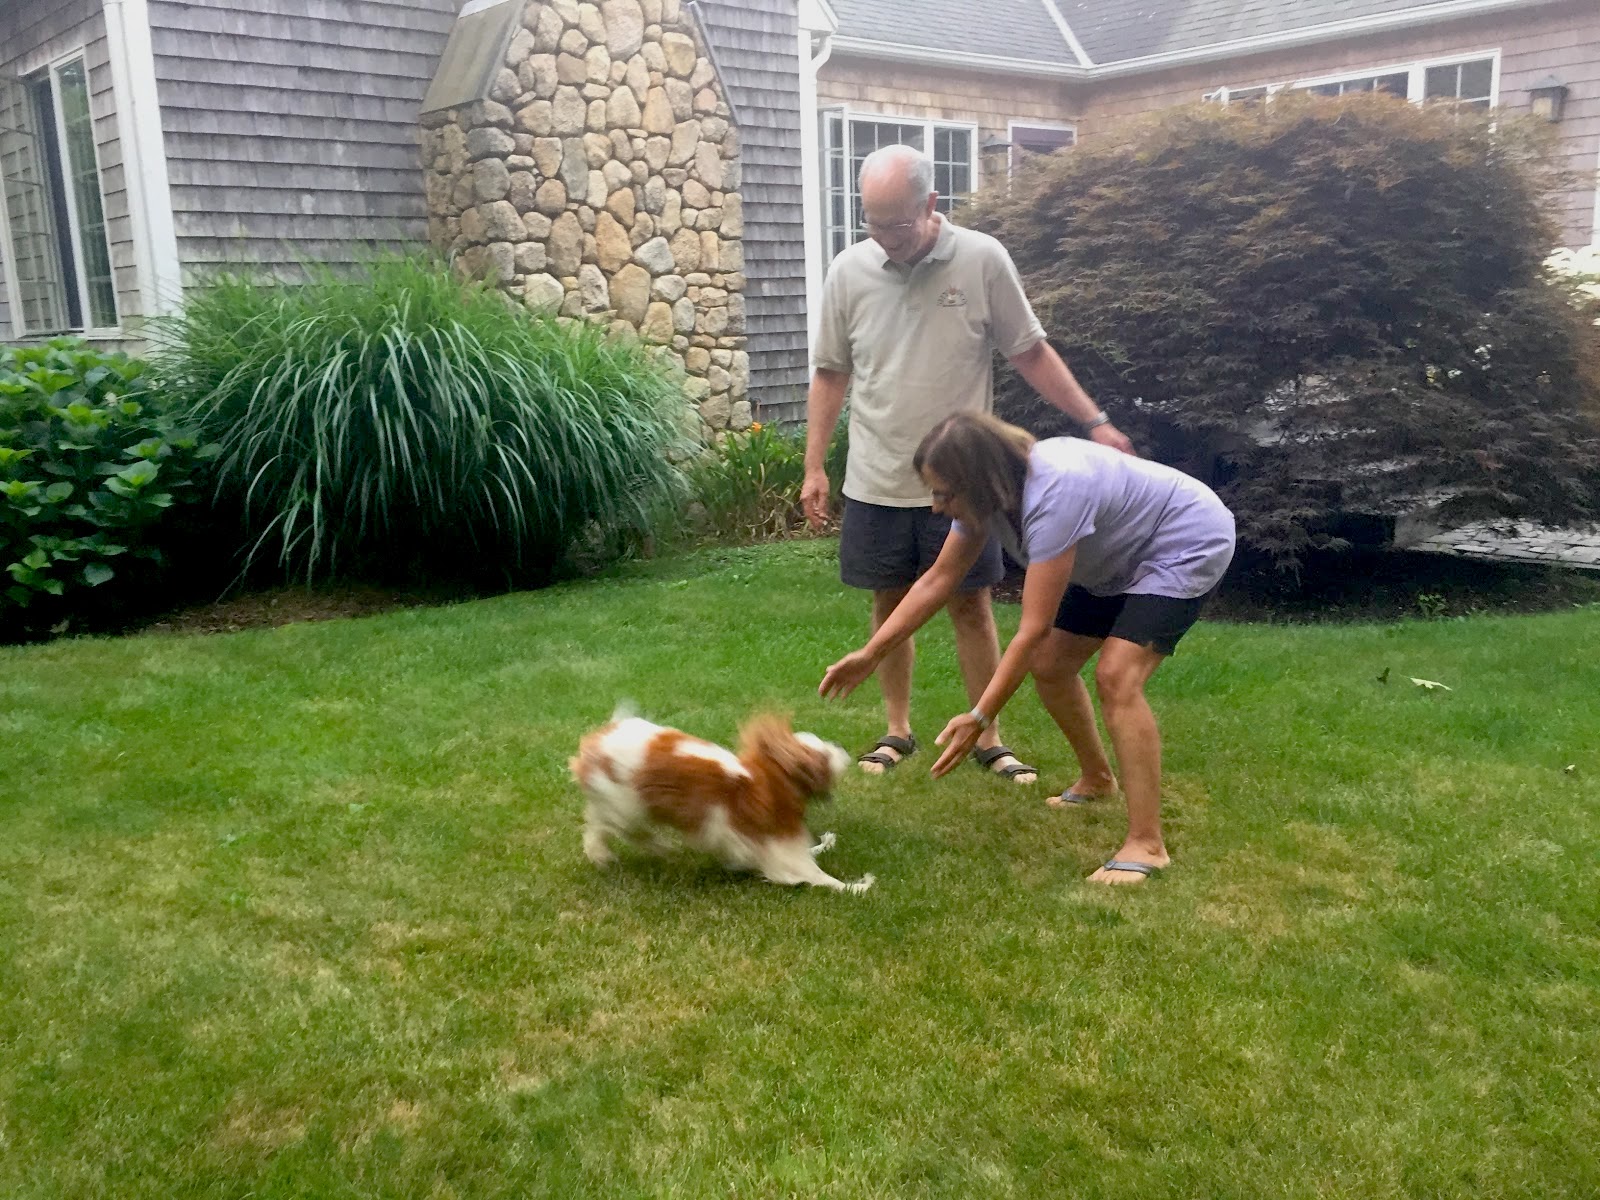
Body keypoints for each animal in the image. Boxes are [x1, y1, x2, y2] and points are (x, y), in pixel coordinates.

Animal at [572, 713, 876, 896]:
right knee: (613, 829)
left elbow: (811, 855)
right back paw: (630, 851)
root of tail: (594, 744)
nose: (842, 748)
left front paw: (826, 845)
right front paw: (857, 887)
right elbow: (817, 875)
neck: (770, 778)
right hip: (628, 807)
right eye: (823, 756)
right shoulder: (780, 850)